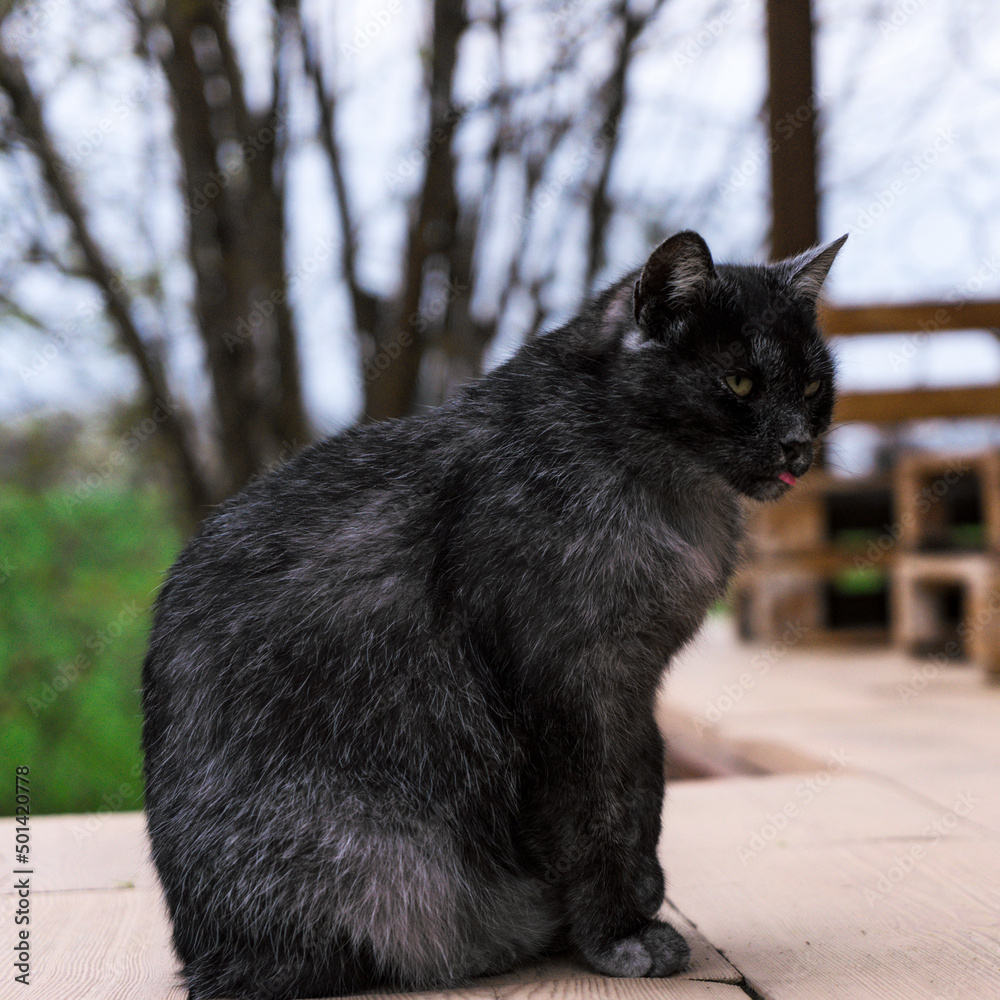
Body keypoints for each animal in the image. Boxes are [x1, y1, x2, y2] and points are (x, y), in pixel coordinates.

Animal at [141, 230, 844, 996]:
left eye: (813, 386)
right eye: (740, 383)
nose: (798, 445)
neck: (667, 489)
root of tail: (205, 959)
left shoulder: (634, 688)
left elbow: (645, 791)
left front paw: (641, 900)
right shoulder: (569, 689)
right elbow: (598, 812)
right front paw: (616, 935)